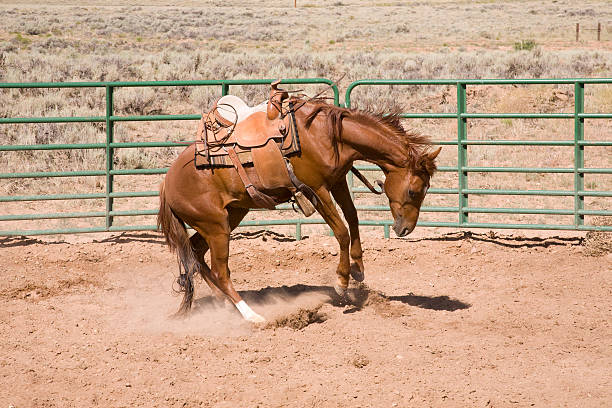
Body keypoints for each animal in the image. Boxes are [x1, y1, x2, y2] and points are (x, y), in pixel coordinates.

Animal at [158, 99, 440, 322]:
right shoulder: (316, 189)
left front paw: (358, 268)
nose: (405, 229)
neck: (329, 135)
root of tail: (168, 183)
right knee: (220, 271)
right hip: (216, 227)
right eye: (414, 191)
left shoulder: (337, 181)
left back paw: (223, 303)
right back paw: (251, 315)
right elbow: (342, 231)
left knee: (196, 252)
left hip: (230, 215)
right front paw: (341, 281)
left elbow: (353, 218)